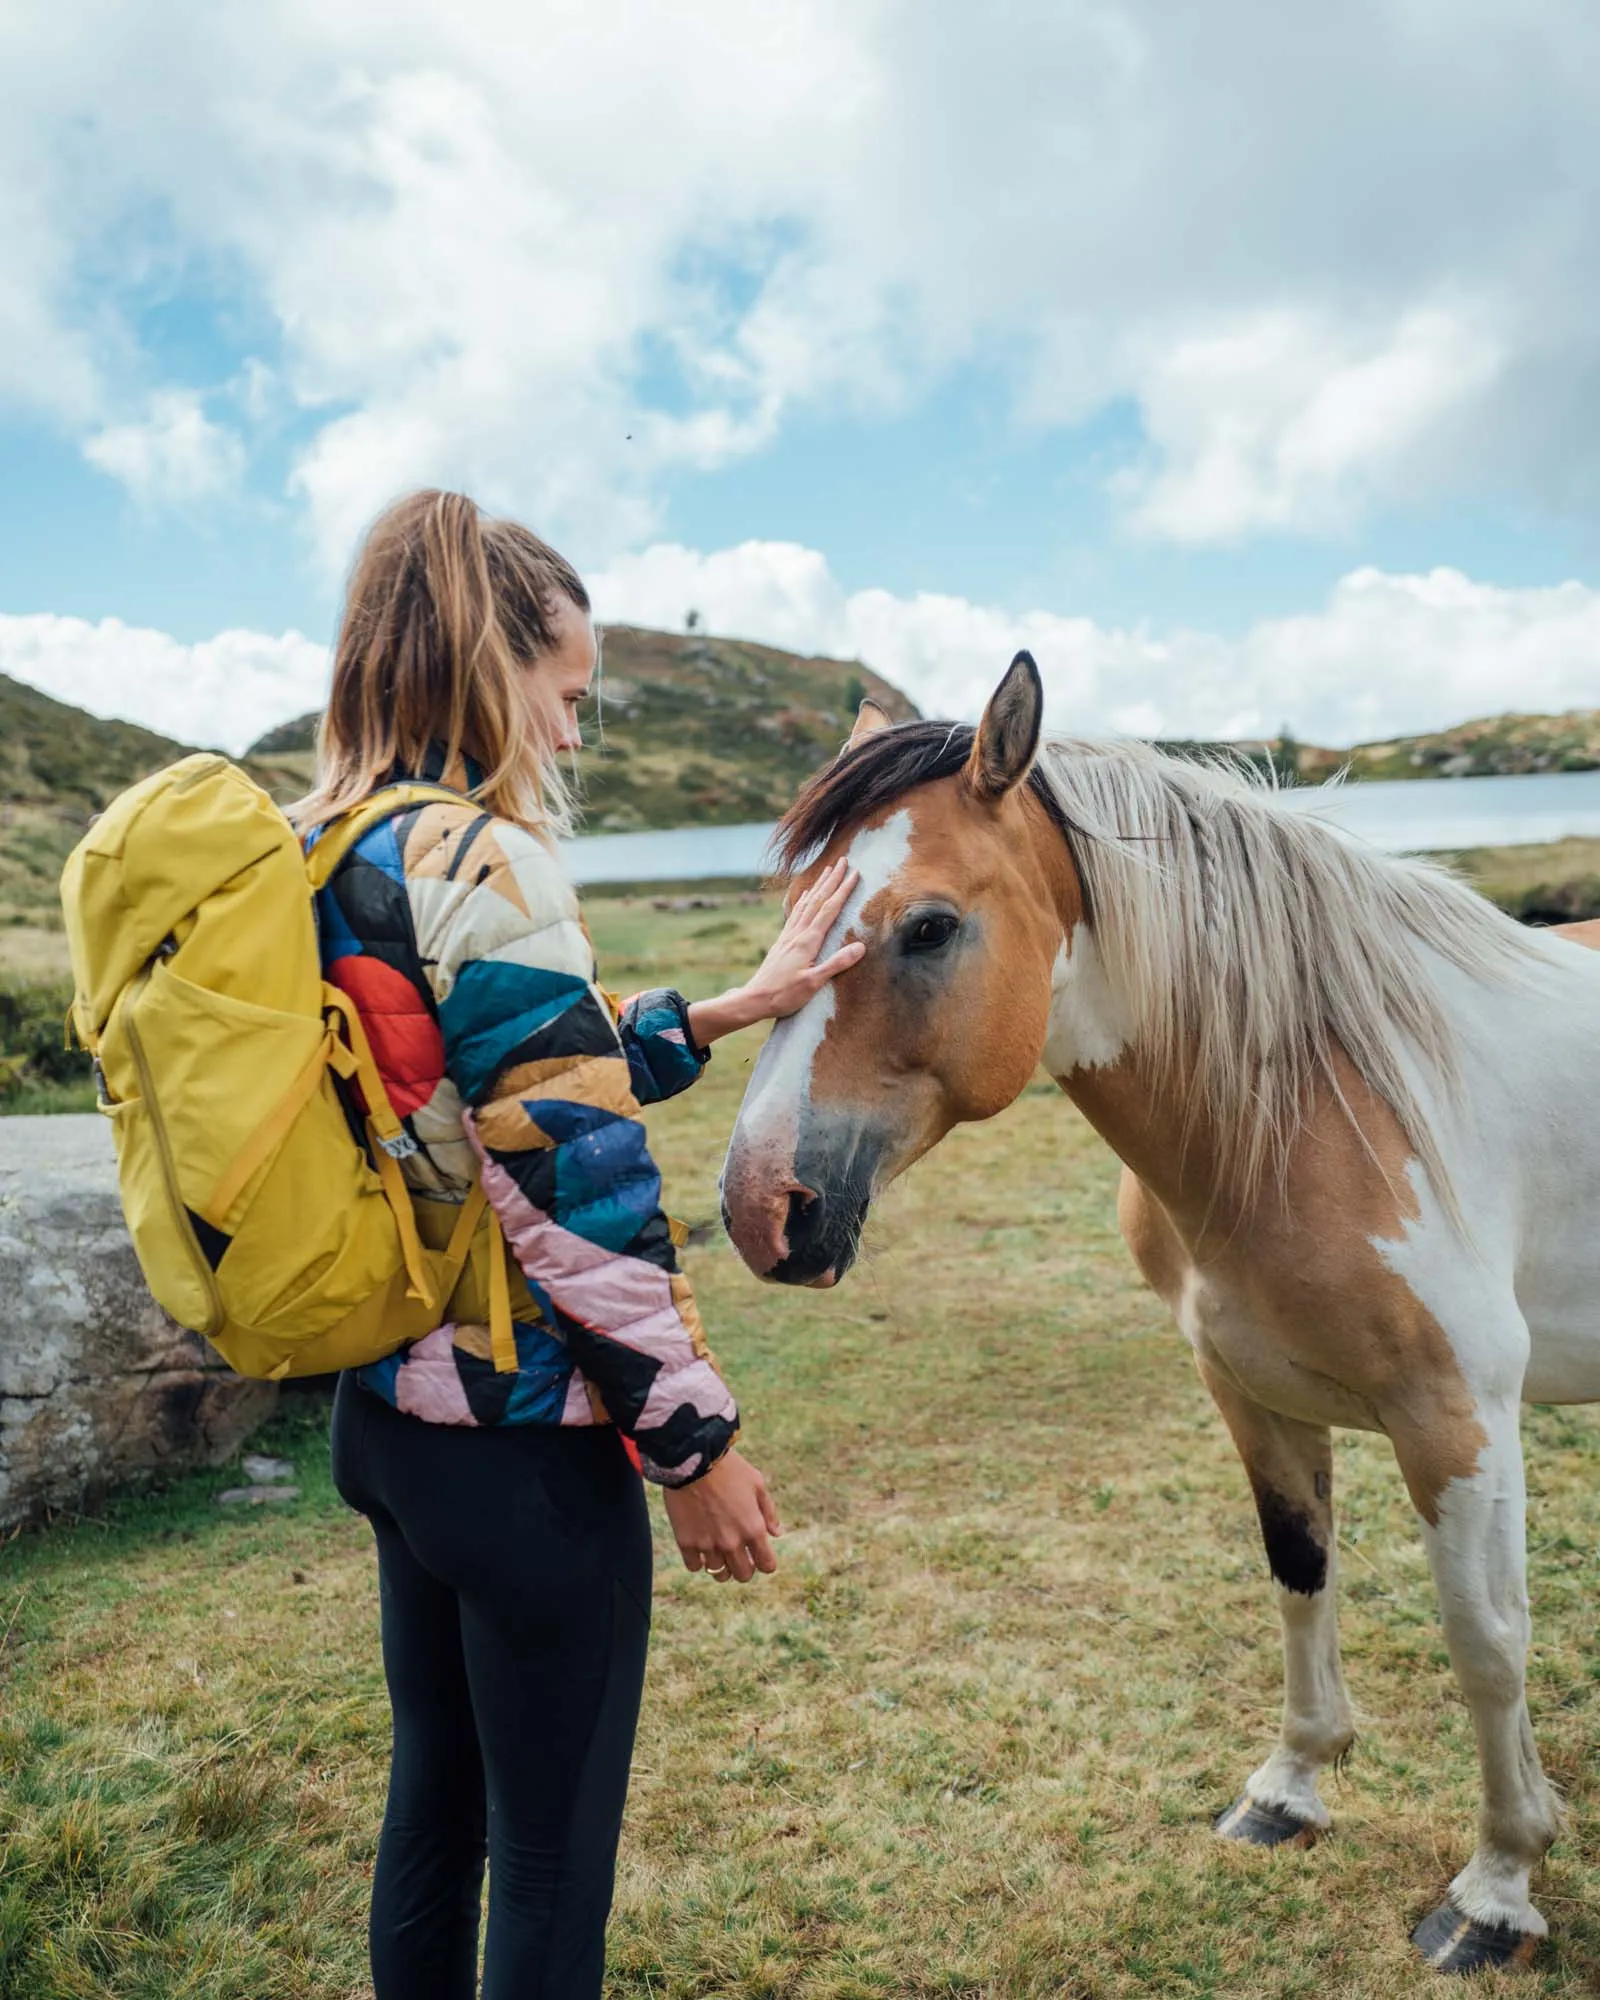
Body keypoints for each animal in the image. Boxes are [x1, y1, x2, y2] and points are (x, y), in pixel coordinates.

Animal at [724, 656, 1600, 1968]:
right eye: (791, 917)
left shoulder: (1460, 1419)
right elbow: (1298, 1569)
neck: (1320, 1104)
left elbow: (1487, 1641)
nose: (757, 1205)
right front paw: (1288, 1787)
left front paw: (1496, 1889)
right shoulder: (1247, 1391)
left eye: (928, 926)